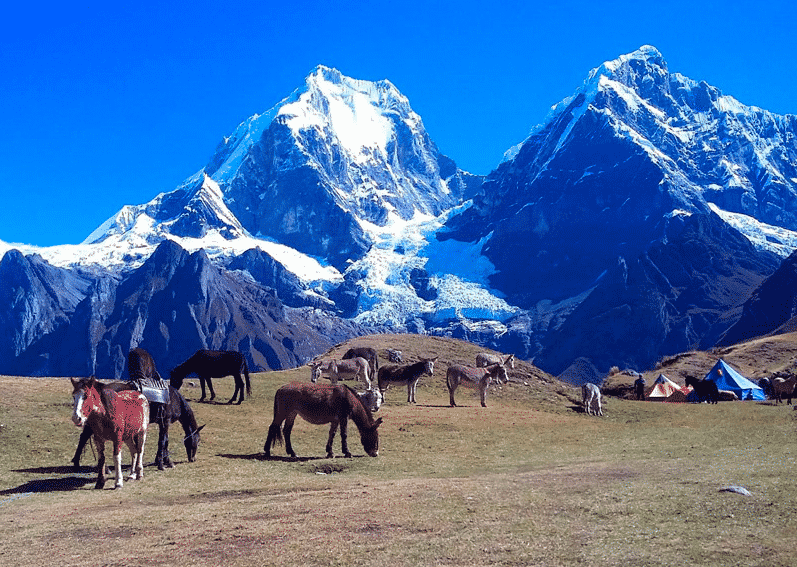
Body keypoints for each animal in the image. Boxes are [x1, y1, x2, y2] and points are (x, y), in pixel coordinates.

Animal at [72, 384, 202, 472]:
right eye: (198, 440)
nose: (193, 458)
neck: (174, 399)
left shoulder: (162, 424)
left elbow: (163, 441)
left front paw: (160, 461)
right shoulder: (165, 423)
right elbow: (164, 442)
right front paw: (165, 463)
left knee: (83, 437)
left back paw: (78, 463)